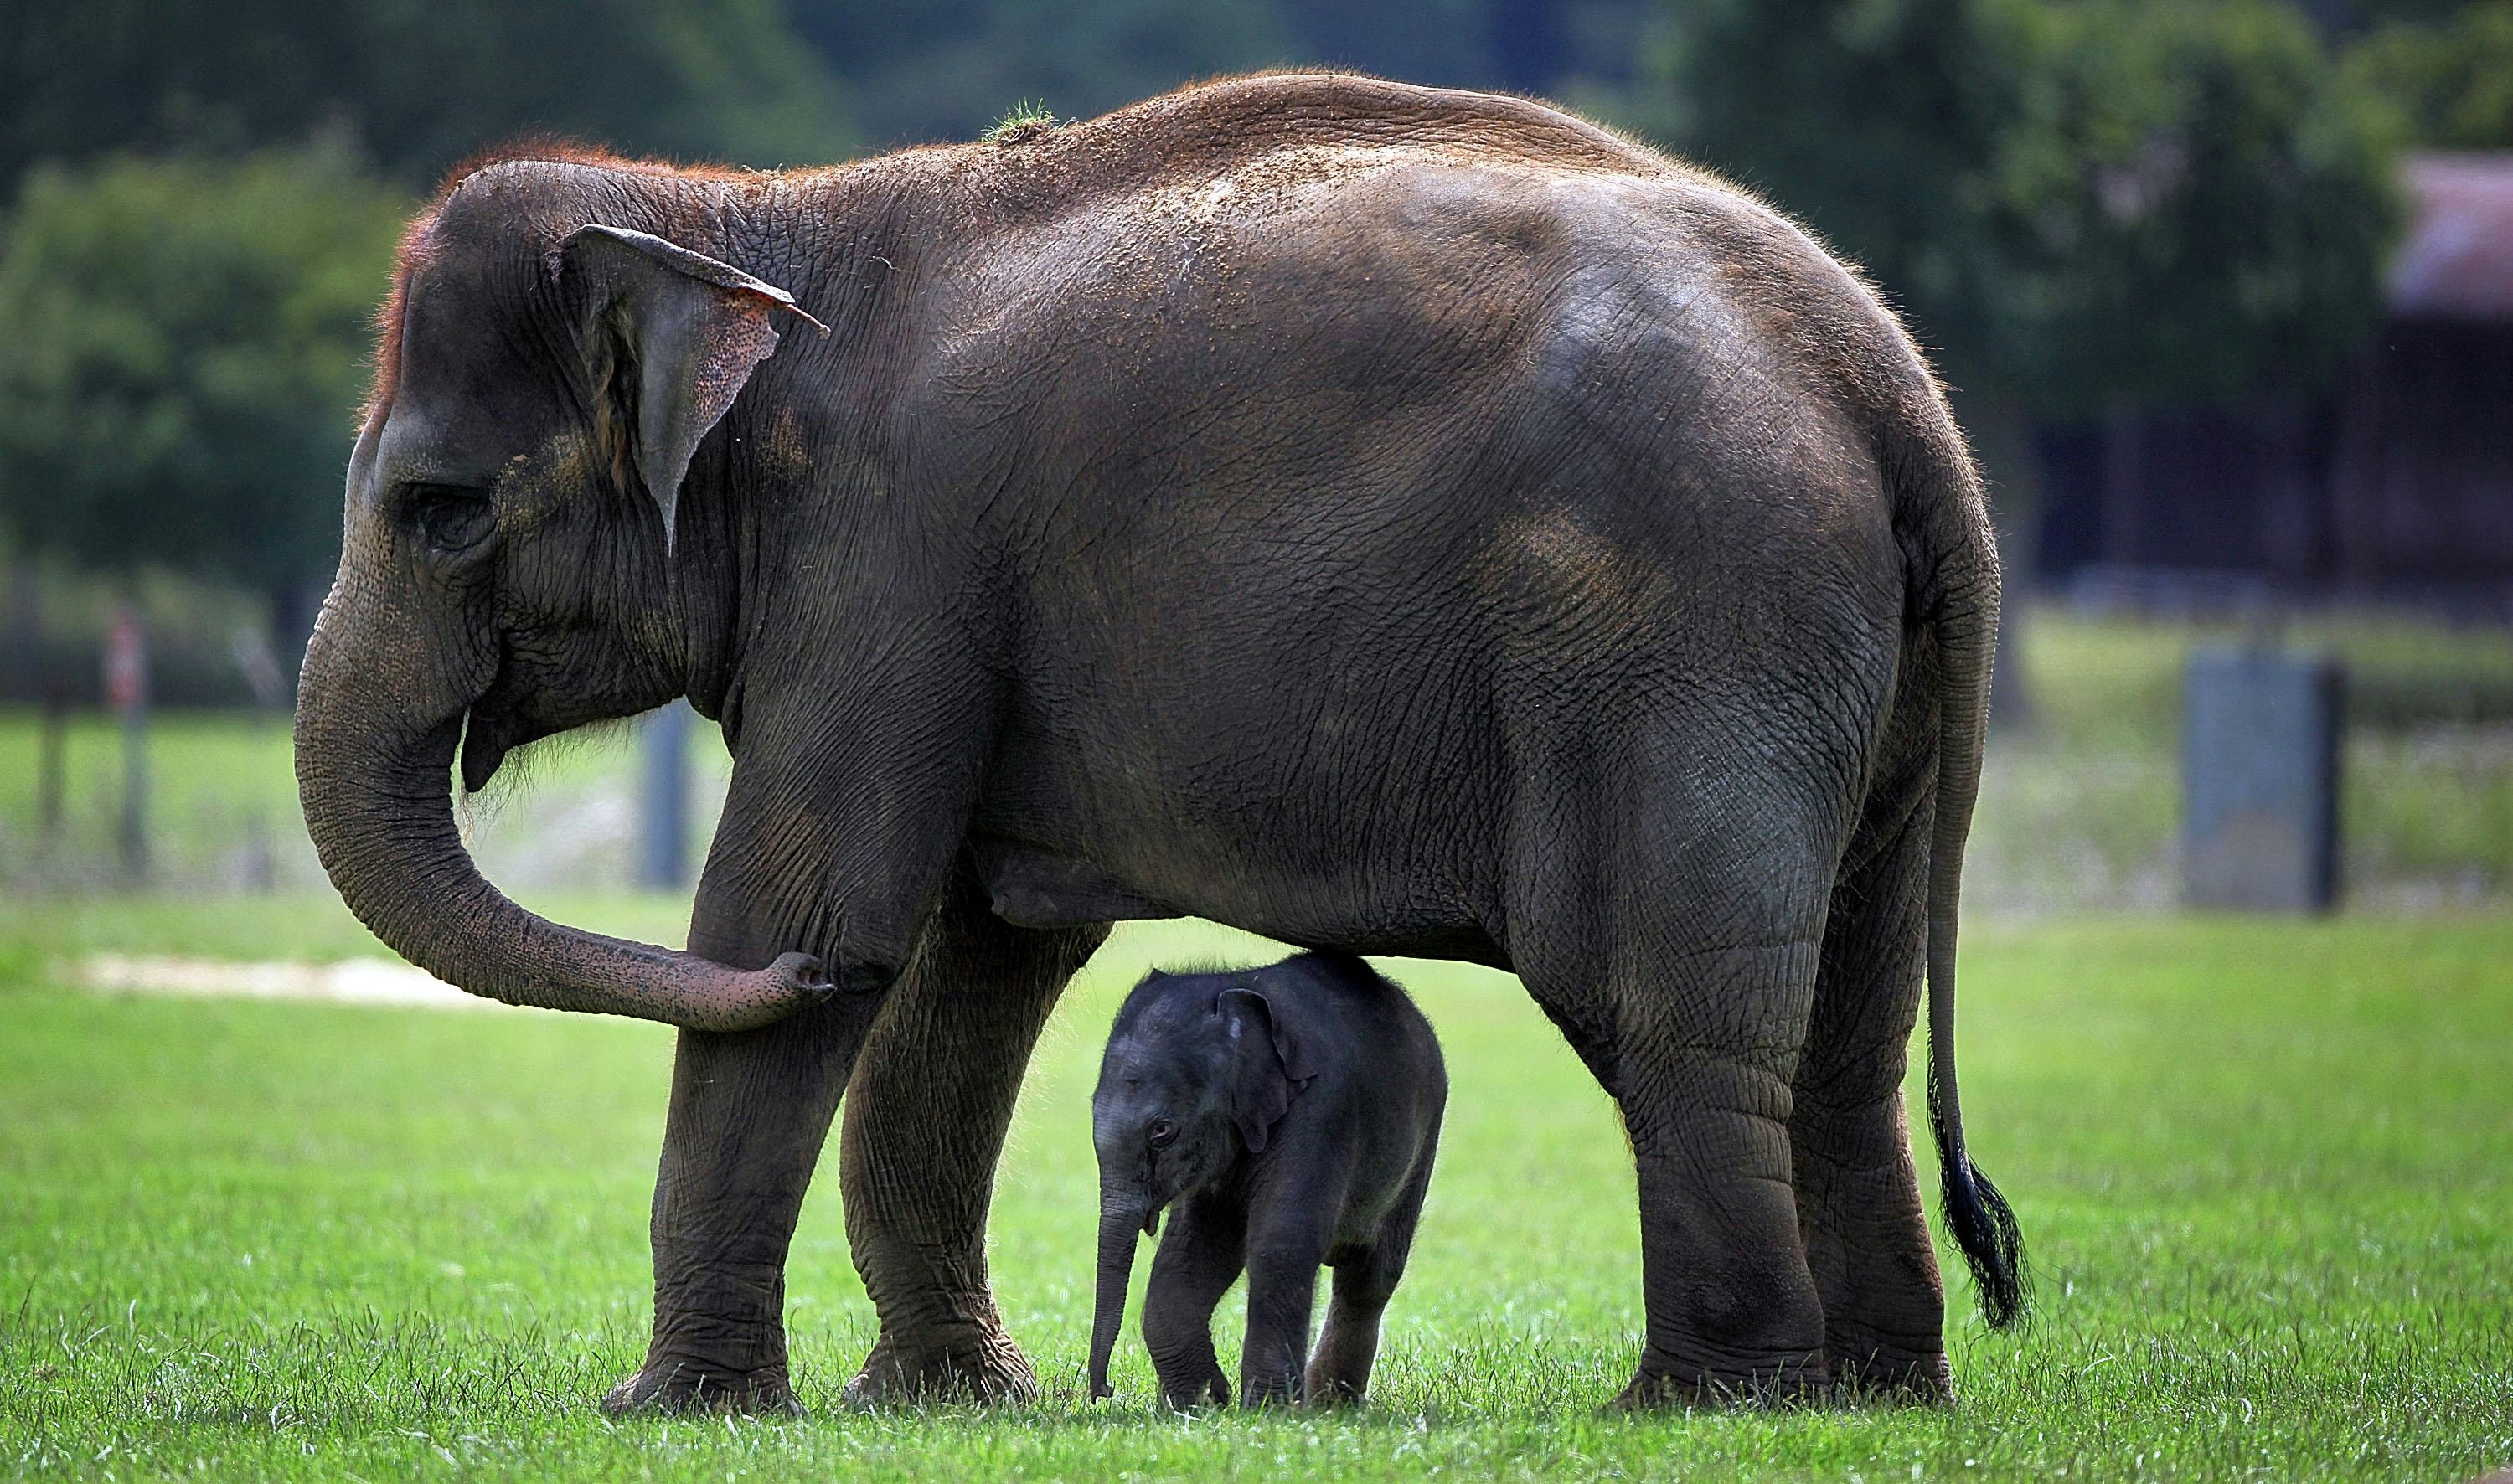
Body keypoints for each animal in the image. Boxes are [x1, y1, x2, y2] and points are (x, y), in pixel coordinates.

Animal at [1085, 953, 1446, 1410]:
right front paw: (1196, 1404)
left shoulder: (1322, 1110)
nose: (1104, 1391)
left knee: (1369, 1277)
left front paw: (1269, 1410)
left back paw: (1331, 1405)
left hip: (1422, 1144)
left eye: (1161, 1131)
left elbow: (1283, 1241)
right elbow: (1195, 1249)